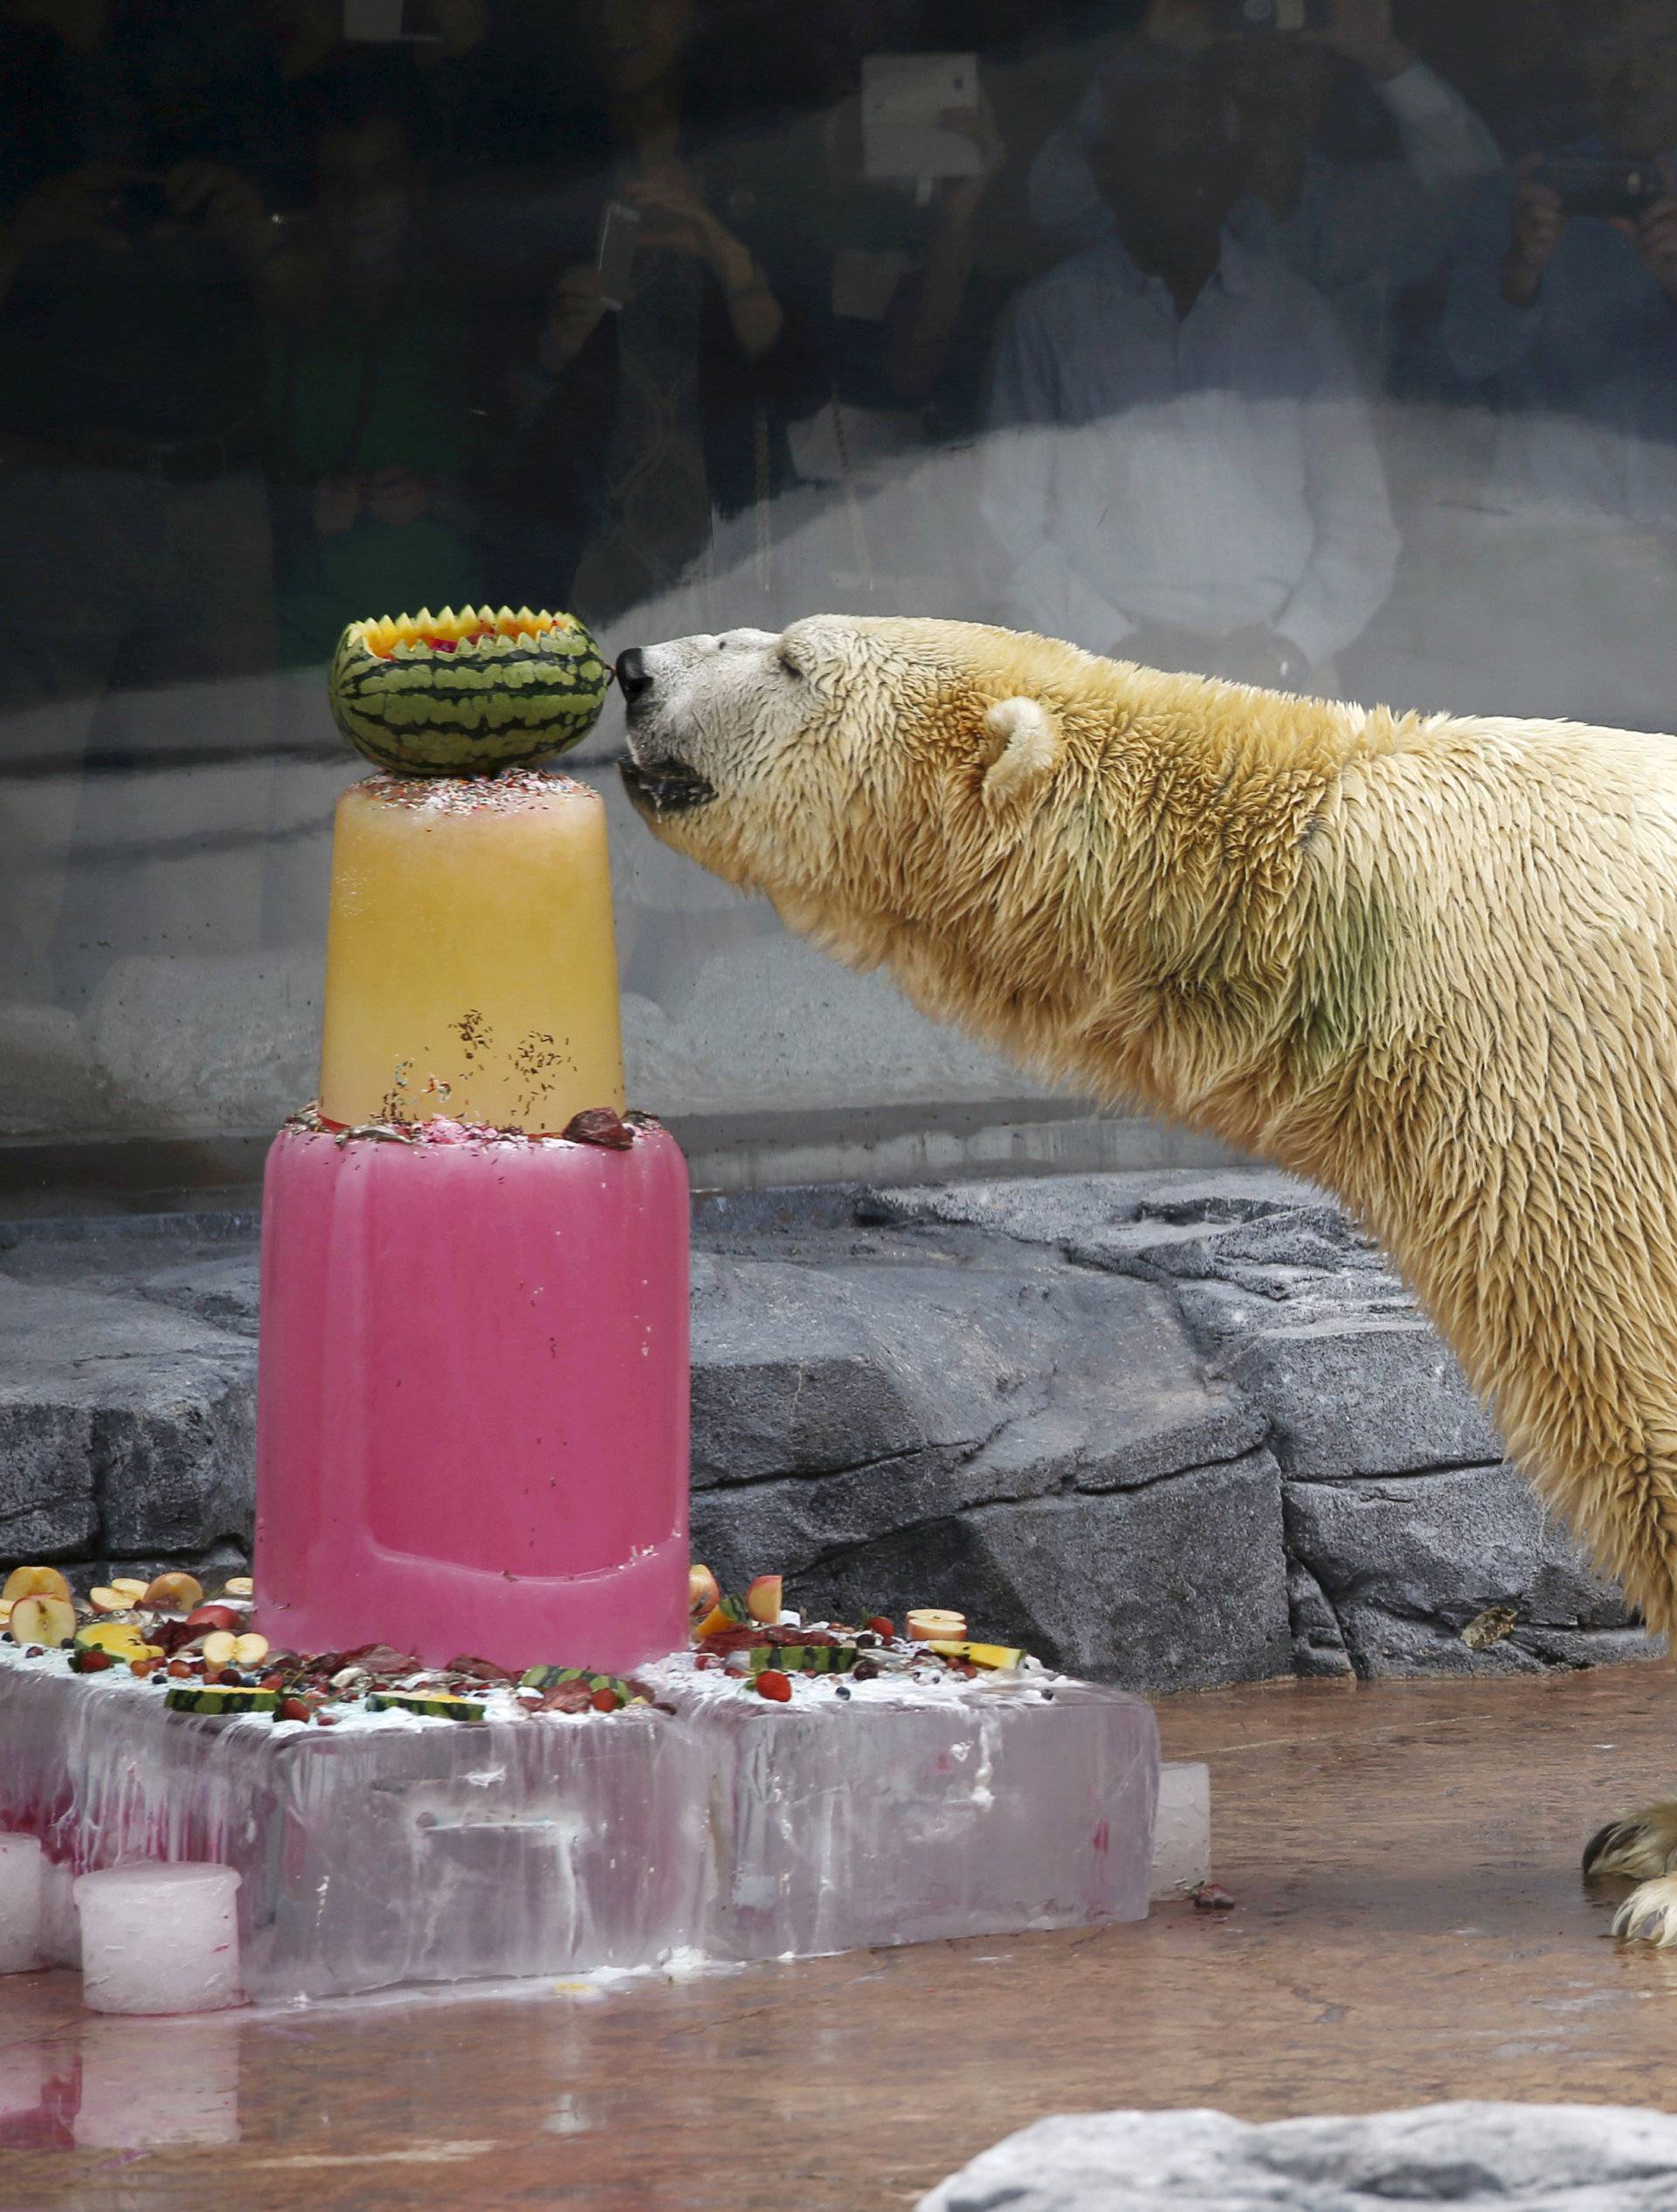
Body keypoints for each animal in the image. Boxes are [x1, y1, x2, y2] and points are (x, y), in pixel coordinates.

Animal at [624, 615, 1677, 1947]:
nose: (633, 670)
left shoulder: (1556, 1078)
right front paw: (1637, 1827)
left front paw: (1664, 1871)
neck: (1338, 883)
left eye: (793, 662)